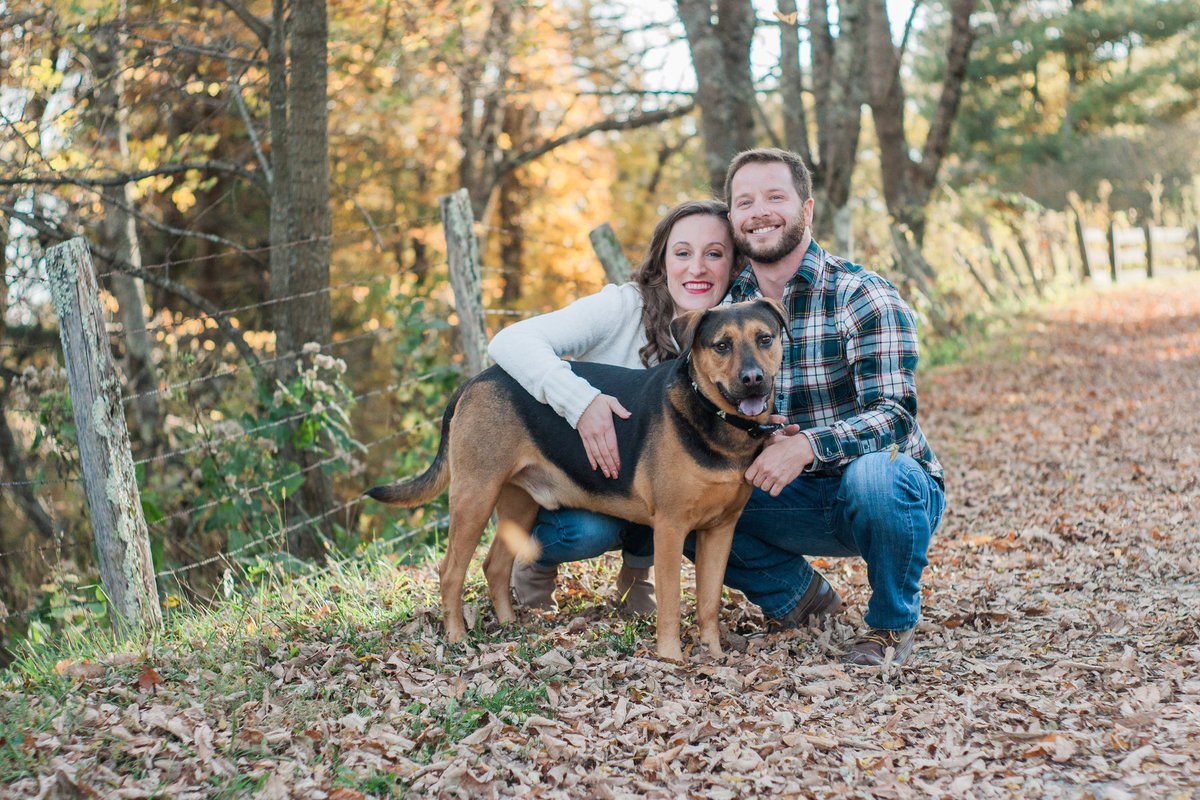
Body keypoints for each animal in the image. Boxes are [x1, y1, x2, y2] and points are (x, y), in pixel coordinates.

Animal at [369, 297, 792, 662]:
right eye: (721, 345)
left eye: (765, 339)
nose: (753, 379)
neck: (718, 421)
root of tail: (474, 381)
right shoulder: (671, 528)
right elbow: (672, 602)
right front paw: (671, 658)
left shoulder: (721, 531)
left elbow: (708, 602)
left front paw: (715, 654)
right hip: (475, 496)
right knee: (451, 572)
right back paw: (457, 636)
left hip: (518, 504)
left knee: (495, 565)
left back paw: (509, 626)